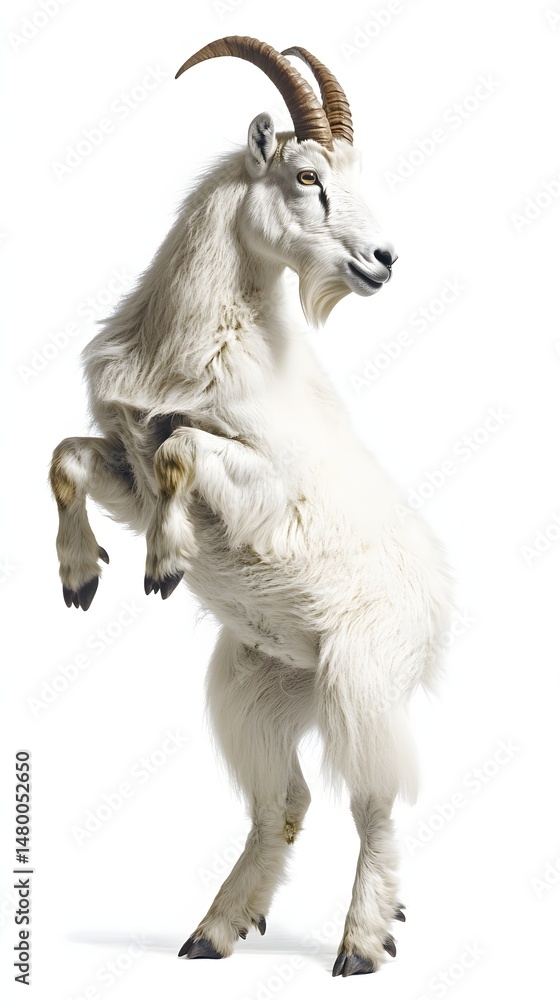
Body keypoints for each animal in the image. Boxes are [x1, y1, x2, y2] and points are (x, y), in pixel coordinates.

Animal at [49, 36, 452, 977]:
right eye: (308, 175)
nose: (383, 260)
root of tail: (437, 620)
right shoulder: (121, 458)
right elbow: (72, 458)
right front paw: (83, 578)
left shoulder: (267, 487)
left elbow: (182, 451)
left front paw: (164, 565)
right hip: (255, 687)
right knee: (285, 801)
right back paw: (215, 931)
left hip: (360, 676)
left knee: (375, 796)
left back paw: (363, 942)